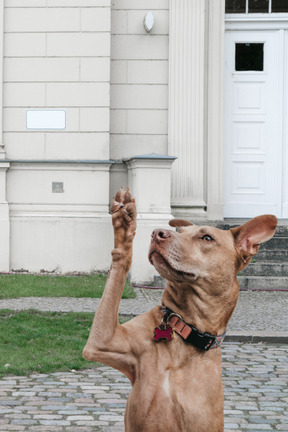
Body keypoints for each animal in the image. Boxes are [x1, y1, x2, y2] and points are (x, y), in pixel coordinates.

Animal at [82, 188, 276, 432]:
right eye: (180, 231)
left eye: (206, 238)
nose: (157, 233)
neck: (185, 328)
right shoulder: (102, 342)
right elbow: (120, 263)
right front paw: (124, 227)